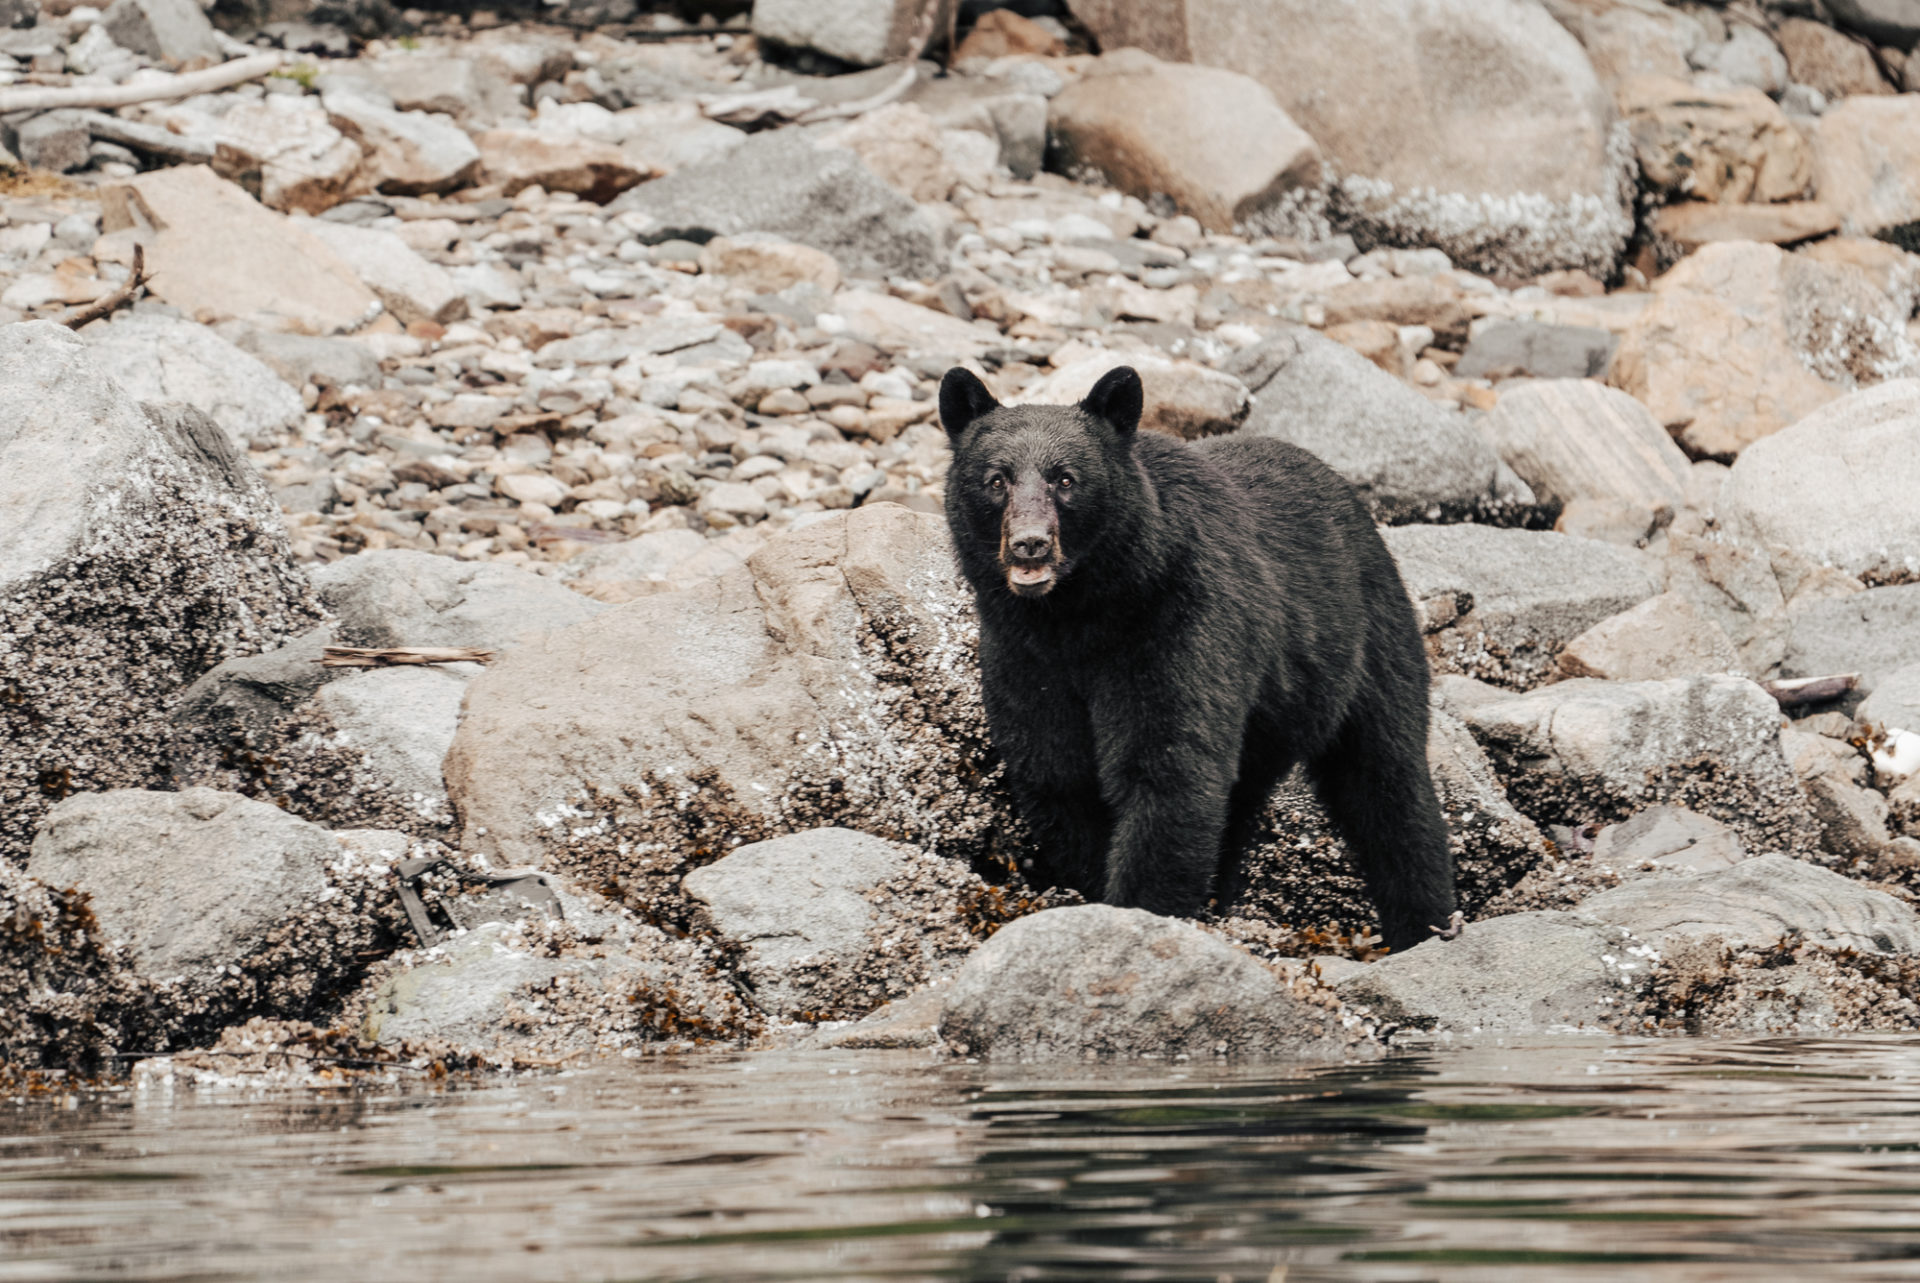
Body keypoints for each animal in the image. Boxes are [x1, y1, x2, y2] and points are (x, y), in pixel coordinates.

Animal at [940, 361, 1451, 952]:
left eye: (1065, 479)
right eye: (996, 480)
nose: (1030, 544)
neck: (1079, 616)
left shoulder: (1180, 619)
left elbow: (1170, 764)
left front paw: (1139, 910)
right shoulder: (1020, 653)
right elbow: (1055, 768)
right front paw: (1092, 895)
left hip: (1370, 635)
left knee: (1386, 779)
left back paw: (1427, 922)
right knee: (1244, 798)